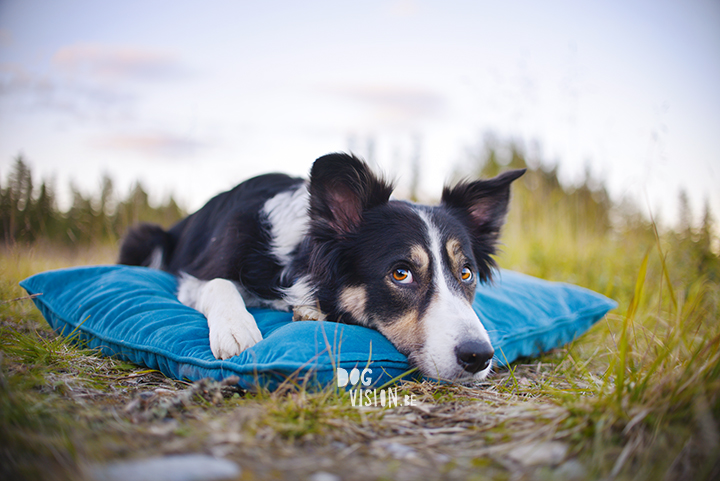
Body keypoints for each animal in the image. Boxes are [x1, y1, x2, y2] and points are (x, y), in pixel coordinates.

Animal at [118, 152, 524, 380]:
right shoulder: (196, 275)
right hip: (143, 236)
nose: (479, 356)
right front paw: (236, 331)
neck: (300, 256)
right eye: (401, 273)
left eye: (466, 273)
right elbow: (221, 284)